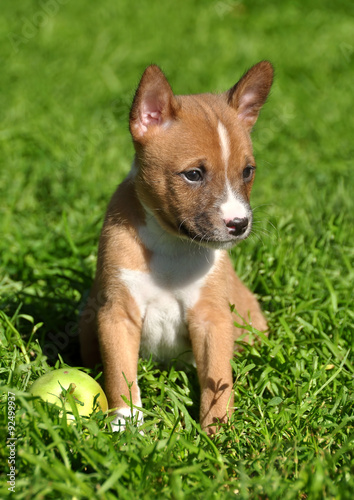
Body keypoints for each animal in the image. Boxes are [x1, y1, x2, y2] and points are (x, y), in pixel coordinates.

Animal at [79, 62, 274, 436]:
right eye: (193, 174)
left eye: (248, 171)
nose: (239, 224)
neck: (173, 245)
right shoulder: (117, 314)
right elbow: (120, 376)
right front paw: (126, 426)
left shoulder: (213, 318)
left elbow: (218, 380)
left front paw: (218, 433)